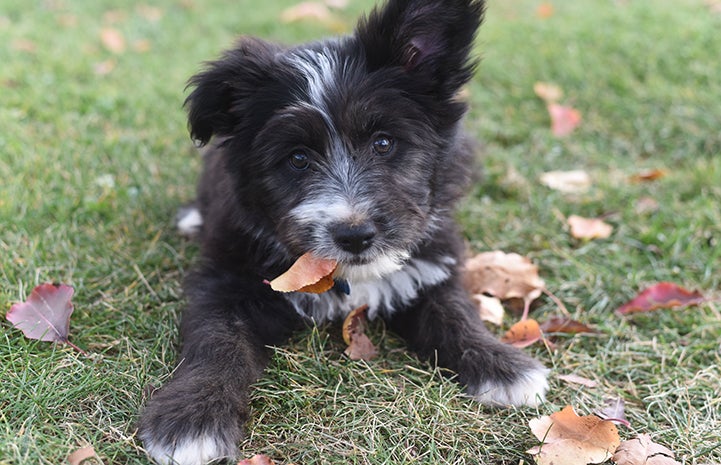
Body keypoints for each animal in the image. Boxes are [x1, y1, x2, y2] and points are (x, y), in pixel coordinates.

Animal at [139, 1, 544, 462]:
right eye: (298, 159)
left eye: (383, 143)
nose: (354, 236)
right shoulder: (226, 280)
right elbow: (217, 340)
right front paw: (193, 416)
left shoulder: (431, 263)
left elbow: (455, 312)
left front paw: (501, 365)